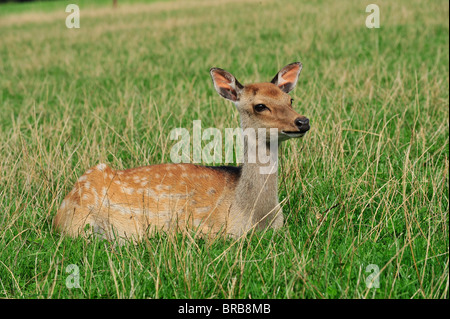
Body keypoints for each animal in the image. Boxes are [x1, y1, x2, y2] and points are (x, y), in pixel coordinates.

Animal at [53, 62, 310, 242]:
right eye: (260, 106)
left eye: (290, 99)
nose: (303, 121)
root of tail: (58, 215)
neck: (254, 217)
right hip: (81, 224)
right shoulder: (200, 228)